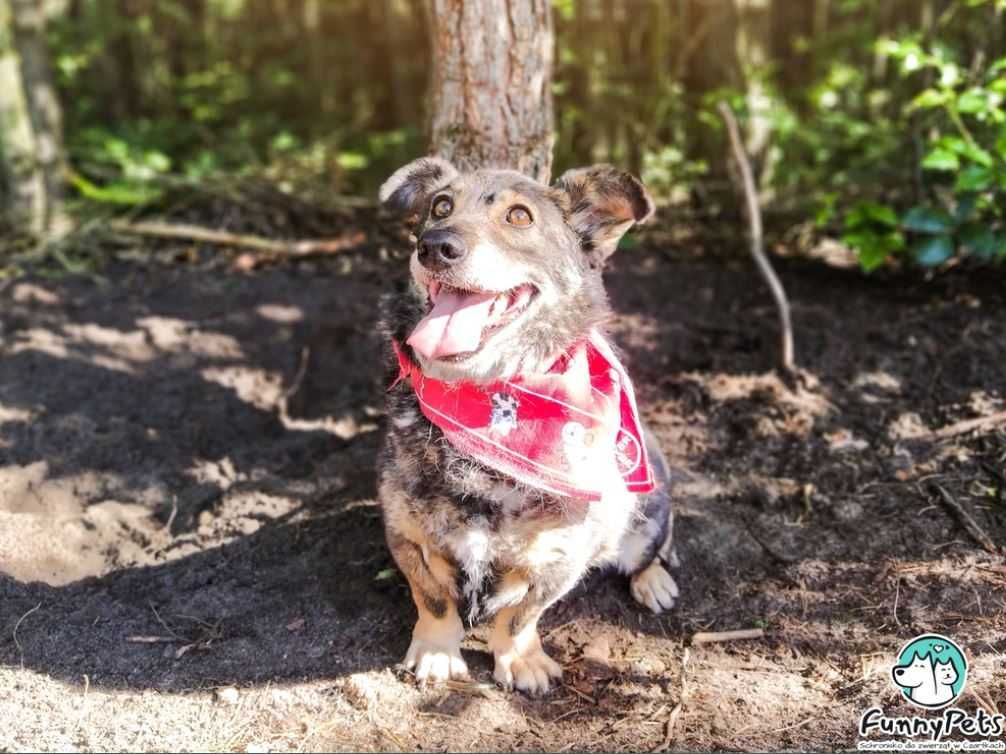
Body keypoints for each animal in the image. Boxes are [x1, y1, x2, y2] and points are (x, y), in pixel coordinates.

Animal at [376, 159, 676, 695]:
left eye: (519, 216)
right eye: (440, 206)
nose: (434, 244)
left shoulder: (564, 556)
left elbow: (521, 614)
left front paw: (519, 659)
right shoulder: (404, 532)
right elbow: (432, 596)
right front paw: (437, 650)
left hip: (646, 511)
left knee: (652, 548)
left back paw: (654, 579)